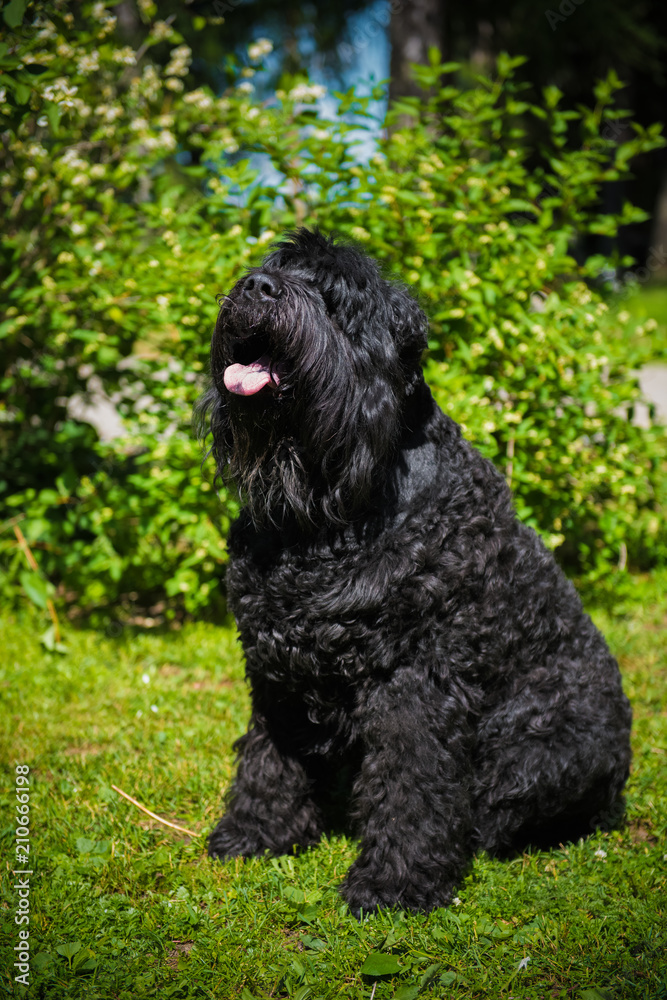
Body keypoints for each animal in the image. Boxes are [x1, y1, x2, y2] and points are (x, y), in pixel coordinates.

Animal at [197, 229, 632, 916]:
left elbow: (413, 781)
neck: (331, 509)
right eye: (270, 269)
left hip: (541, 742)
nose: (257, 288)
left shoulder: (415, 678)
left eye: (335, 298)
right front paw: (255, 831)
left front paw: (395, 882)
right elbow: (269, 758)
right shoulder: (276, 668)